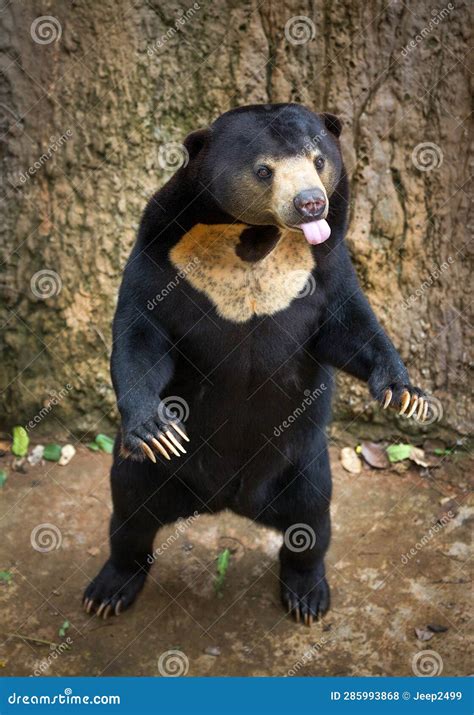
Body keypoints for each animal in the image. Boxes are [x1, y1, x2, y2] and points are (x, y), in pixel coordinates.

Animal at [83, 103, 435, 625]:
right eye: (265, 170)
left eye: (318, 160)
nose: (311, 205)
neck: (253, 239)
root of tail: (227, 500)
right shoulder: (162, 253)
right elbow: (142, 334)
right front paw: (158, 428)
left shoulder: (323, 264)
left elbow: (349, 327)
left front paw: (407, 396)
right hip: (151, 473)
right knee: (130, 511)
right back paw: (109, 589)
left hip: (302, 461)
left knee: (311, 519)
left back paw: (307, 595)